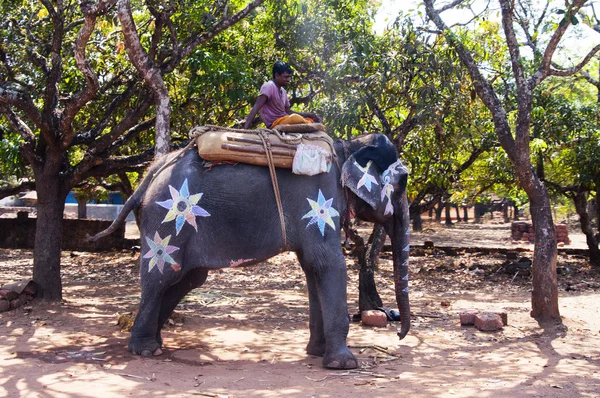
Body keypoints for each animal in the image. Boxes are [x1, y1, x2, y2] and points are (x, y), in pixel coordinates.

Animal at [92, 132, 412, 368]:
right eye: (404, 180)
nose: (398, 334)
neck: (346, 147)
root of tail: (153, 171)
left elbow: (312, 268)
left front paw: (317, 353)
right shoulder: (320, 199)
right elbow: (329, 264)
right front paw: (344, 365)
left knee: (188, 279)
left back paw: (156, 344)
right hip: (167, 221)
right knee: (161, 277)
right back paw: (145, 350)